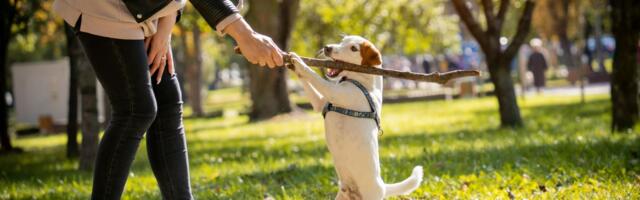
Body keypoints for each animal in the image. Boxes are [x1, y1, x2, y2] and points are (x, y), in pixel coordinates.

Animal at [288, 35, 420, 199]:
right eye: (342, 41)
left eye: (353, 48)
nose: (327, 47)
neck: (361, 81)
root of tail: (383, 186)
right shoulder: (320, 103)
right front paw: (292, 64)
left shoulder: (333, 92)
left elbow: (314, 76)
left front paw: (299, 62)